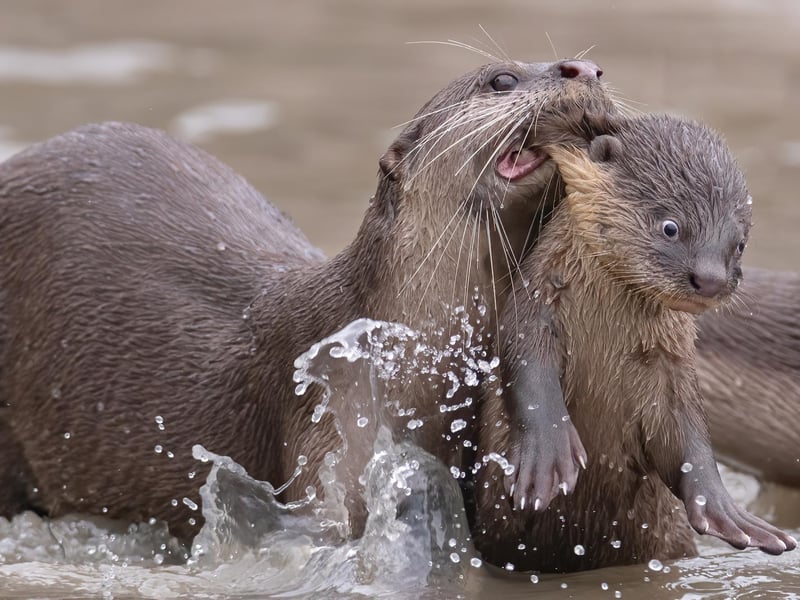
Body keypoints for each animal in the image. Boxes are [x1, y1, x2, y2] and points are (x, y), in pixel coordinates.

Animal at [474, 115, 796, 572]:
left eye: (739, 244)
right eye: (671, 227)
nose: (711, 279)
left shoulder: (671, 365)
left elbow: (687, 436)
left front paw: (725, 510)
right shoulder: (533, 311)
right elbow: (528, 372)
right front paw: (547, 457)